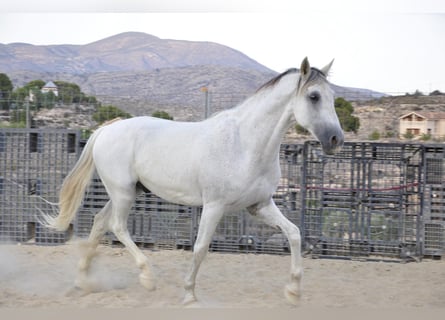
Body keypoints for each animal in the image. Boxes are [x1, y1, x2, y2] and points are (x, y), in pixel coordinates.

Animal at [41, 57, 342, 304]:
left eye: (332, 96)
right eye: (314, 96)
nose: (336, 140)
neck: (245, 144)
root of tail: (106, 129)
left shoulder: (260, 205)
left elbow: (294, 233)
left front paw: (293, 292)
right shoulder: (214, 206)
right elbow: (200, 248)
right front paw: (188, 294)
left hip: (127, 192)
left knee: (100, 222)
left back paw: (82, 282)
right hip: (123, 192)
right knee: (117, 226)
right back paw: (147, 277)